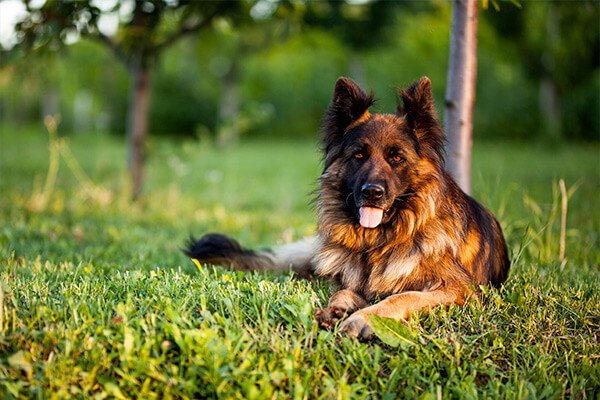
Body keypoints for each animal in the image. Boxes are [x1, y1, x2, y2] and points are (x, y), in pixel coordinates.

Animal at [185, 76, 508, 340]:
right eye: (359, 155)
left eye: (396, 158)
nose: (372, 193)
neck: (379, 243)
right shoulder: (354, 280)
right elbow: (342, 290)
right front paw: (338, 309)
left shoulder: (459, 289)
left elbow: (404, 297)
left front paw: (362, 319)